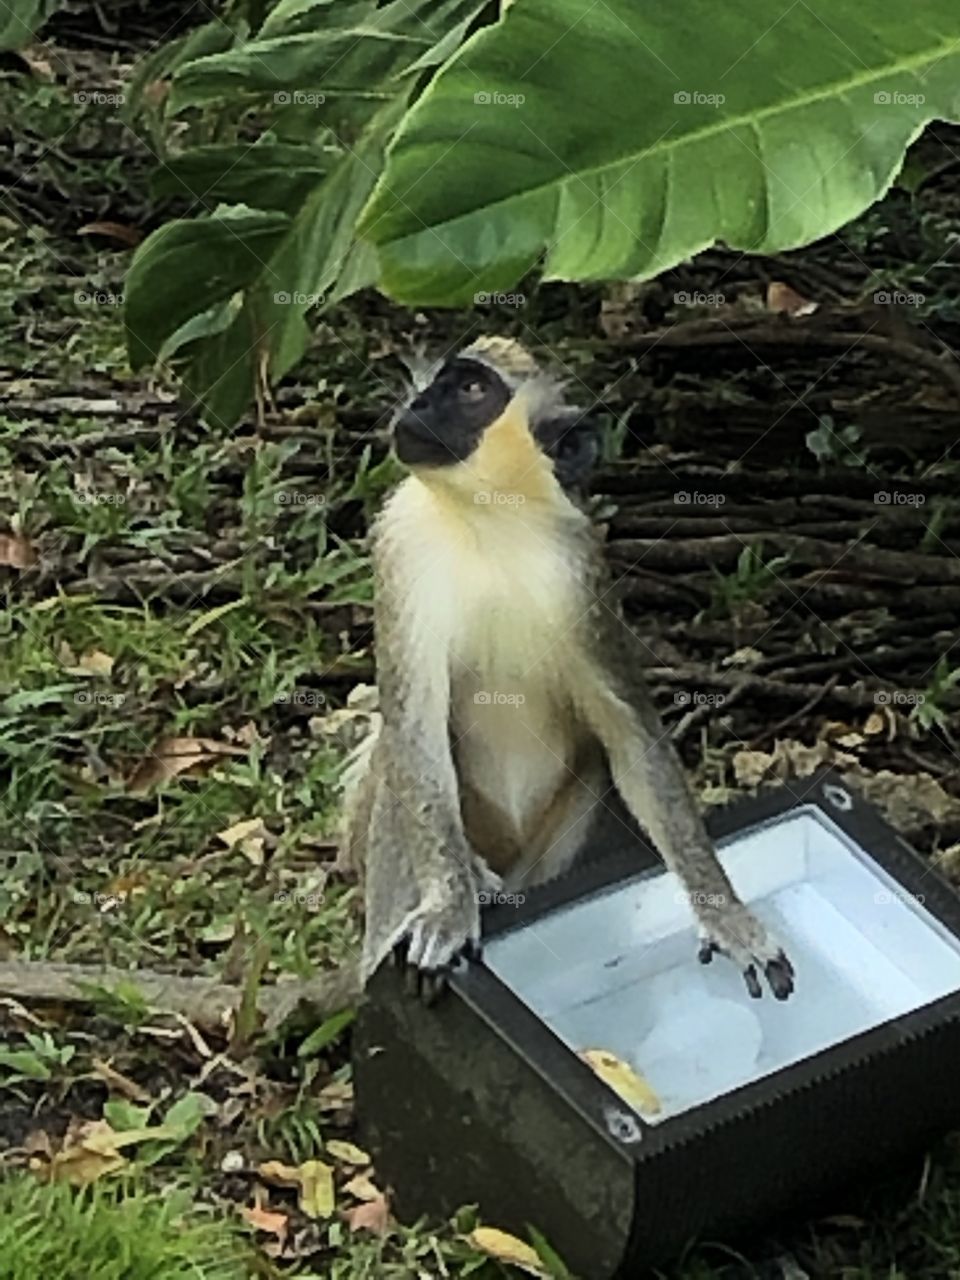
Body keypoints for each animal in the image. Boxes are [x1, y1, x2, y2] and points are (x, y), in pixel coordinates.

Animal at [342, 336, 794, 1003]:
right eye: (437, 382)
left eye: (472, 390)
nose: (416, 405)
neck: (489, 520)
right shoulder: (402, 543)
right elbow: (413, 732)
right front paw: (449, 907)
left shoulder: (583, 572)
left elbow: (631, 737)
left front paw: (726, 913)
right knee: (392, 762)